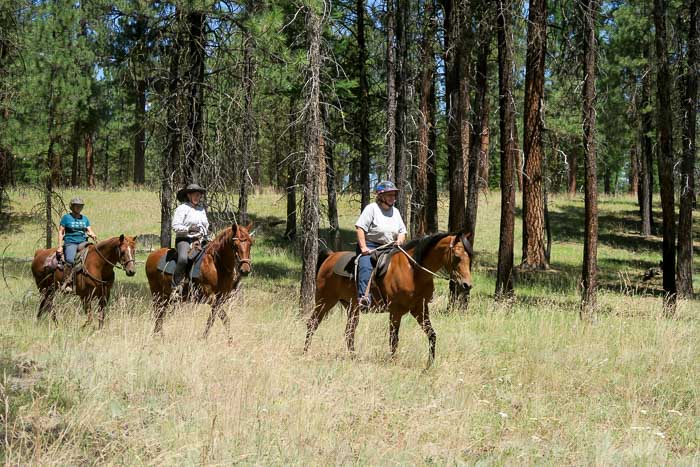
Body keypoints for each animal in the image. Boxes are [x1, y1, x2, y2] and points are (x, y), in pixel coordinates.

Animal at [304, 232, 474, 368]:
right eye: (457, 257)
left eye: (470, 258)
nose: (467, 285)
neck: (414, 271)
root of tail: (330, 257)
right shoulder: (395, 311)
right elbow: (394, 339)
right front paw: (393, 362)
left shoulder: (420, 309)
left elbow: (432, 334)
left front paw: (429, 364)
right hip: (325, 301)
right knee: (312, 324)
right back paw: (306, 352)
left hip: (352, 307)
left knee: (349, 332)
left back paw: (354, 357)